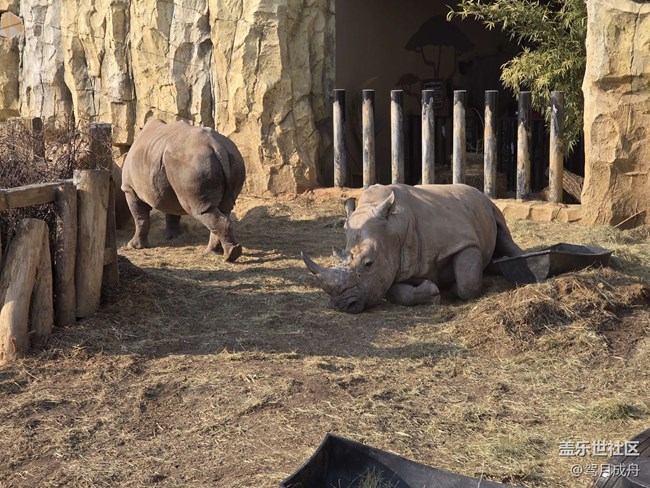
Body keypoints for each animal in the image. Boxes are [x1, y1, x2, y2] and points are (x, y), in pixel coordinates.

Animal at [121, 119, 246, 261]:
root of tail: (217, 146)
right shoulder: (168, 188)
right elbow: (172, 213)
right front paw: (172, 237)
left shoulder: (129, 189)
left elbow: (140, 218)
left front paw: (134, 246)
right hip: (232, 159)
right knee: (223, 209)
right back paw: (214, 252)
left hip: (194, 164)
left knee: (201, 210)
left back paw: (228, 255)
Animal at [302, 183, 522, 313]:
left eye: (369, 263)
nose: (342, 305)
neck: (396, 227)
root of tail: (474, 188)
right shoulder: (391, 267)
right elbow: (395, 292)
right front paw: (432, 291)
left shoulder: (464, 242)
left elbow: (468, 284)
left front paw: (451, 288)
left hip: (487, 203)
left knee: (503, 231)